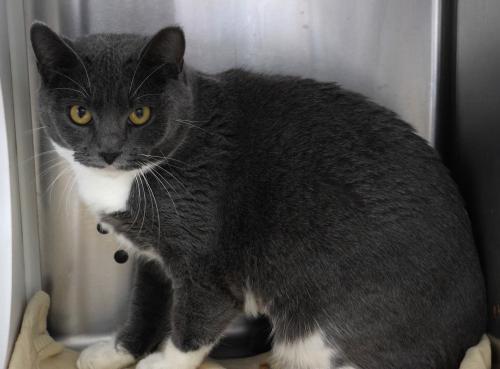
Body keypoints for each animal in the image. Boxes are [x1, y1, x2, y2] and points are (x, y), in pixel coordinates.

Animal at [30, 22, 484, 368]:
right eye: (80, 114)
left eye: (139, 114)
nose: (109, 150)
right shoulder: (152, 257)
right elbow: (145, 304)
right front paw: (117, 352)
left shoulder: (206, 260)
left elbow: (194, 324)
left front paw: (160, 363)